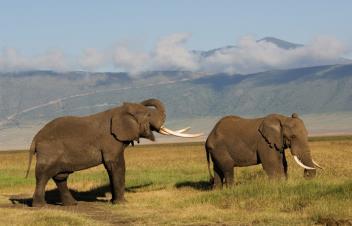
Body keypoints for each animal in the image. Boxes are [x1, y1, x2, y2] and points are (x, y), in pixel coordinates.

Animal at [24, 98, 201, 207]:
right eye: (149, 115)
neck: (119, 111)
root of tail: (35, 138)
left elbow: (112, 168)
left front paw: (114, 202)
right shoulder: (110, 140)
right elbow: (116, 165)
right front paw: (123, 203)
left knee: (61, 177)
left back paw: (72, 204)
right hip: (49, 152)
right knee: (44, 175)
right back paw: (40, 206)